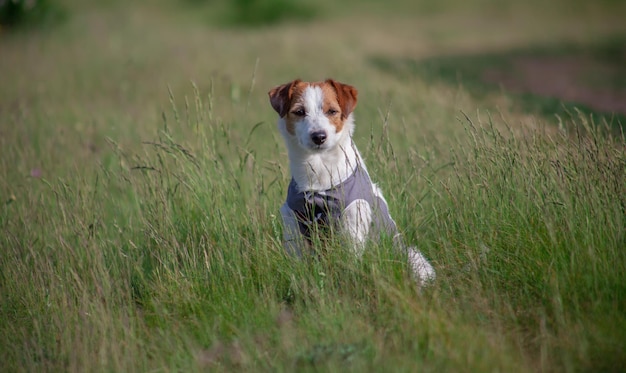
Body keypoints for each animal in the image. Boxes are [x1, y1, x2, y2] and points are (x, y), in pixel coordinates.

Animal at [266, 77, 434, 284]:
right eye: (299, 111)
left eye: (332, 111)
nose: (319, 136)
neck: (320, 177)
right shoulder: (292, 221)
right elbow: (296, 258)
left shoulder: (353, 222)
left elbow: (350, 259)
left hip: (414, 258)